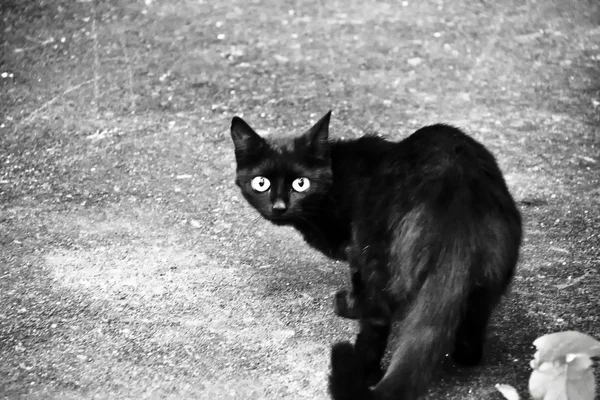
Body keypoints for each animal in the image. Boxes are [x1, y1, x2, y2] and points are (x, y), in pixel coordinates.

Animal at [230, 111, 520, 400]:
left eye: (301, 184)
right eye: (261, 183)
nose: (279, 207)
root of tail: (456, 209)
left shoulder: (356, 252)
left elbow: (358, 287)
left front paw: (349, 306)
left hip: (376, 255)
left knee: (378, 320)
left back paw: (364, 369)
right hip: (489, 278)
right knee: (473, 329)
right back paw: (462, 356)